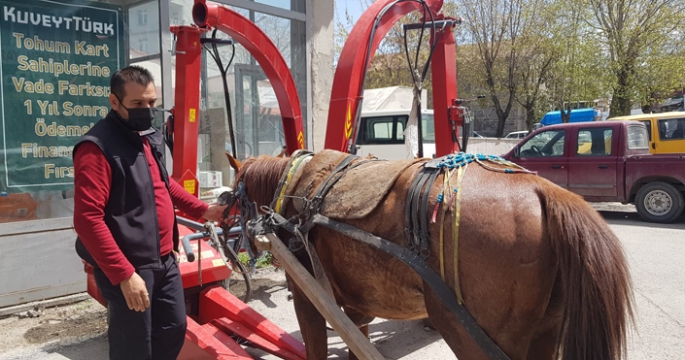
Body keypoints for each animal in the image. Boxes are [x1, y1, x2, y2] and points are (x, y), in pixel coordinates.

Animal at [232, 150, 632, 360]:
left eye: (233, 197)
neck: (297, 189)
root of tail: (543, 190)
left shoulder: (309, 300)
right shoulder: (354, 307)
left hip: (464, 331)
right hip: (545, 332)